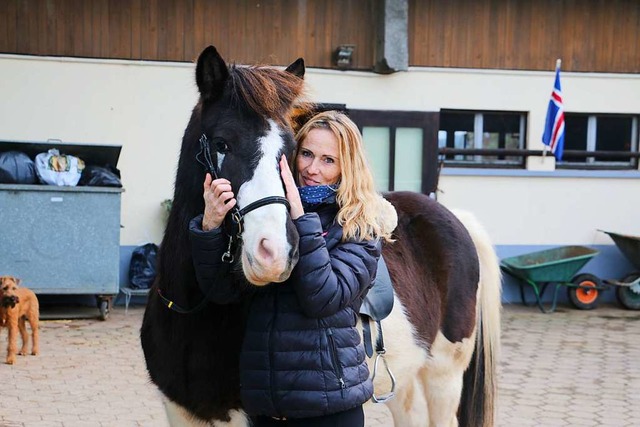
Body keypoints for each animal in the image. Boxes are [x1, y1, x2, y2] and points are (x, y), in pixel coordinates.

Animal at [139, 45, 500, 426]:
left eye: (290, 149)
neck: (193, 314)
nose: (274, 253)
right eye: (222, 144)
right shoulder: (179, 411)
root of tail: (455, 219)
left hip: (444, 375)